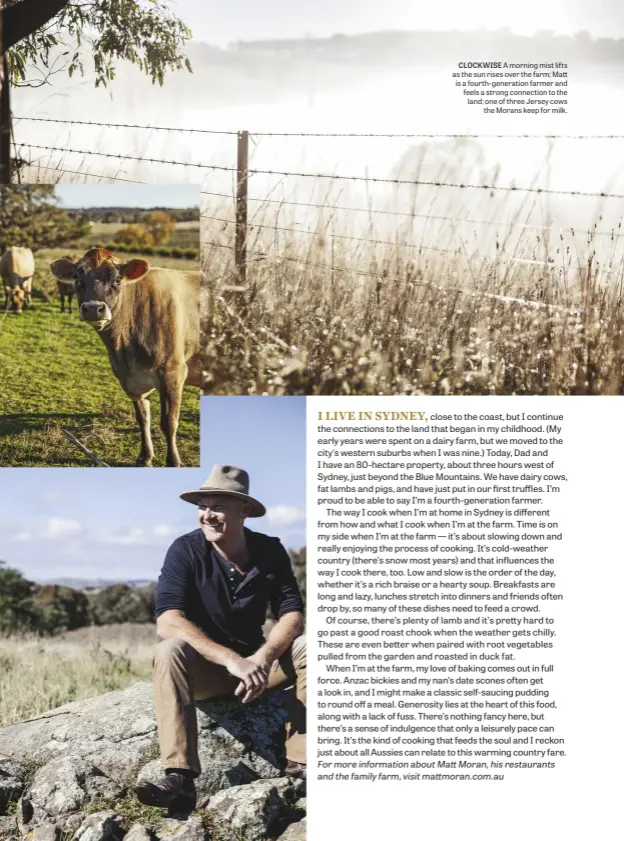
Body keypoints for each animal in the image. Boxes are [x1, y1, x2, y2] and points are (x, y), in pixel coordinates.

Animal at [50, 246, 200, 470]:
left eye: (117, 279)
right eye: (77, 276)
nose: (93, 308)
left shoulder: (173, 372)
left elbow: (169, 422)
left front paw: (173, 461)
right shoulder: (130, 379)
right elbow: (143, 418)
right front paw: (145, 456)